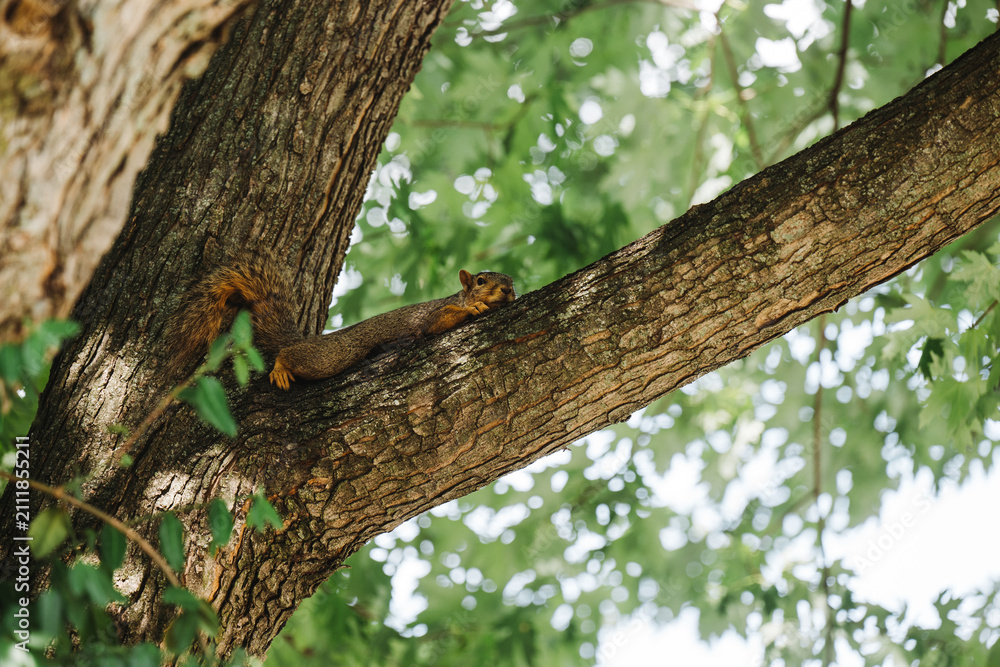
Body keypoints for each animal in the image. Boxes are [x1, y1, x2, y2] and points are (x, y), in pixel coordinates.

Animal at [169, 254, 516, 389]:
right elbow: (438, 321)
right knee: (288, 354)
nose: (508, 290)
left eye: (510, 279)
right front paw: (476, 307)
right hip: (331, 355)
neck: (458, 296)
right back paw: (281, 368)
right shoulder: (433, 313)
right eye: (481, 280)